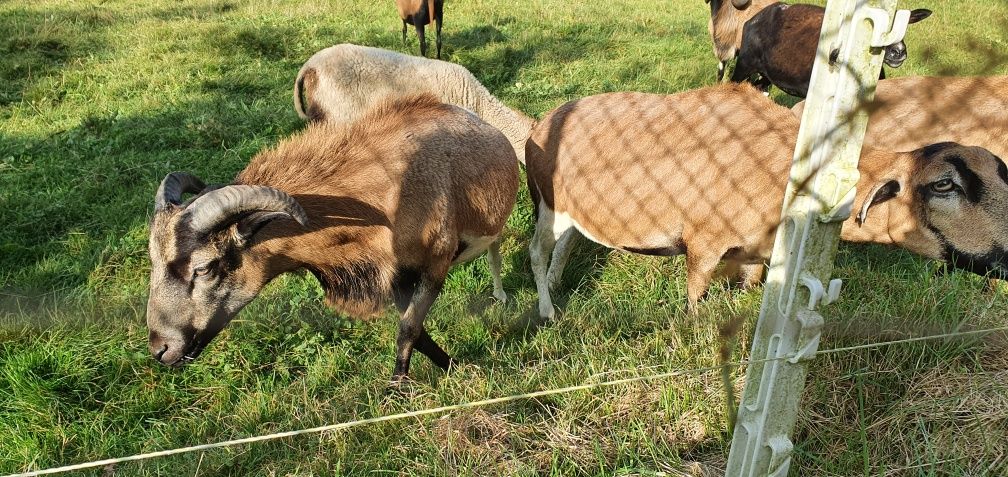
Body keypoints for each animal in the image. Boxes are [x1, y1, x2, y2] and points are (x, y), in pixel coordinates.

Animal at [146, 94, 520, 381]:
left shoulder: (435, 263)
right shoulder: (397, 277)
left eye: (204, 268)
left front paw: (399, 385)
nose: (161, 348)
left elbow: (409, 328)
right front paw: (451, 366)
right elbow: (415, 330)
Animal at [524, 83, 1008, 318]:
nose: (1005, 257)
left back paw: (556, 285)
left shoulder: (759, 253)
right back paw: (547, 310)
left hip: (577, 211)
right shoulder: (704, 243)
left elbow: (750, 287)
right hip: (547, 204)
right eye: (944, 185)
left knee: (568, 243)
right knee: (536, 249)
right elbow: (695, 299)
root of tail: (542, 121)